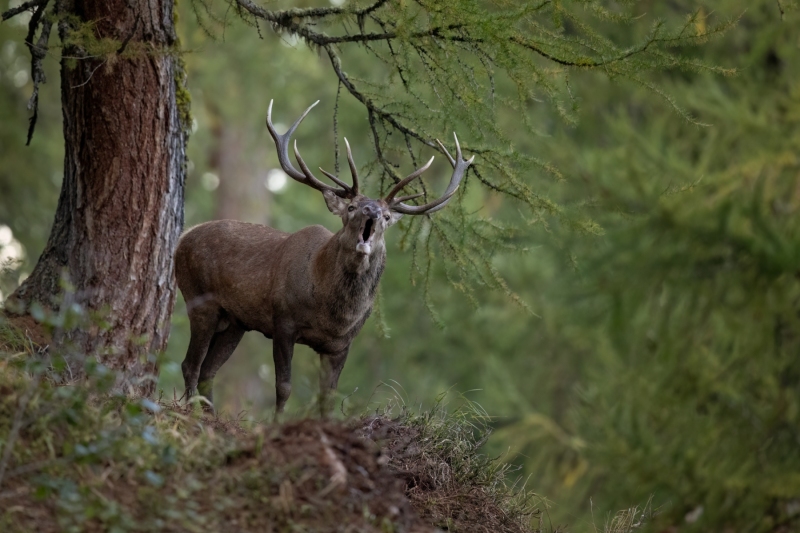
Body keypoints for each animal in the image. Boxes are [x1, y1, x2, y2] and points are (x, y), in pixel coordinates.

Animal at [175, 100, 474, 417]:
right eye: (352, 207)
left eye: (387, 216)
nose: (371, 211)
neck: (331, 312)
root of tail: (183, 238)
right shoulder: (283, 322)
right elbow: (284, 387)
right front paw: (277, 423)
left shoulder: (341, 344)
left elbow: (327, 397)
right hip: (200, 299)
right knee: (190, 364)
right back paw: (191, 413)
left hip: (235, 321)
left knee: (208, 371)